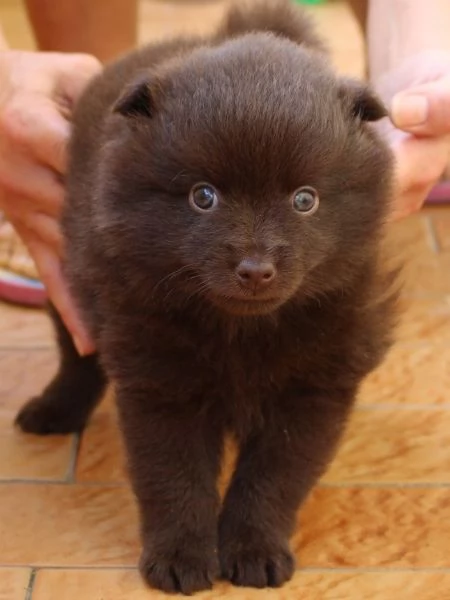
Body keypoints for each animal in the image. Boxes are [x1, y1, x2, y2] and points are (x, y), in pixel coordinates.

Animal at [16, 1, 398, 596]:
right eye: (203, 197)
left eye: (305, 200)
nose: (255, 268)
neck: (241, 330)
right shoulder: (161, 381)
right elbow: (174, 477)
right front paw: (179, 557)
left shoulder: (314, 387)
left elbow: (273, 479)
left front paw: (255, 549)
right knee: (76, 355)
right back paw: (55, 409)